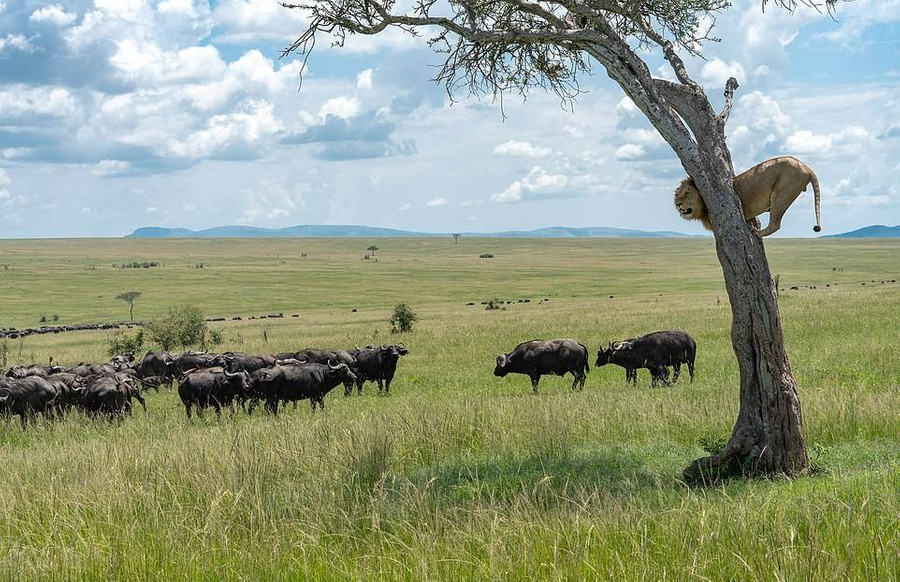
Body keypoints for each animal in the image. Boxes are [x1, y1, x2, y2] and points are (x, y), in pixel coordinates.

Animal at [676, 157, 824, 237]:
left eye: (686, 193)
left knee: (775, 224)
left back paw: (757, 232)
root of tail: (808, 168)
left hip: (781, 193)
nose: (677, 204)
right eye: (677, 195)